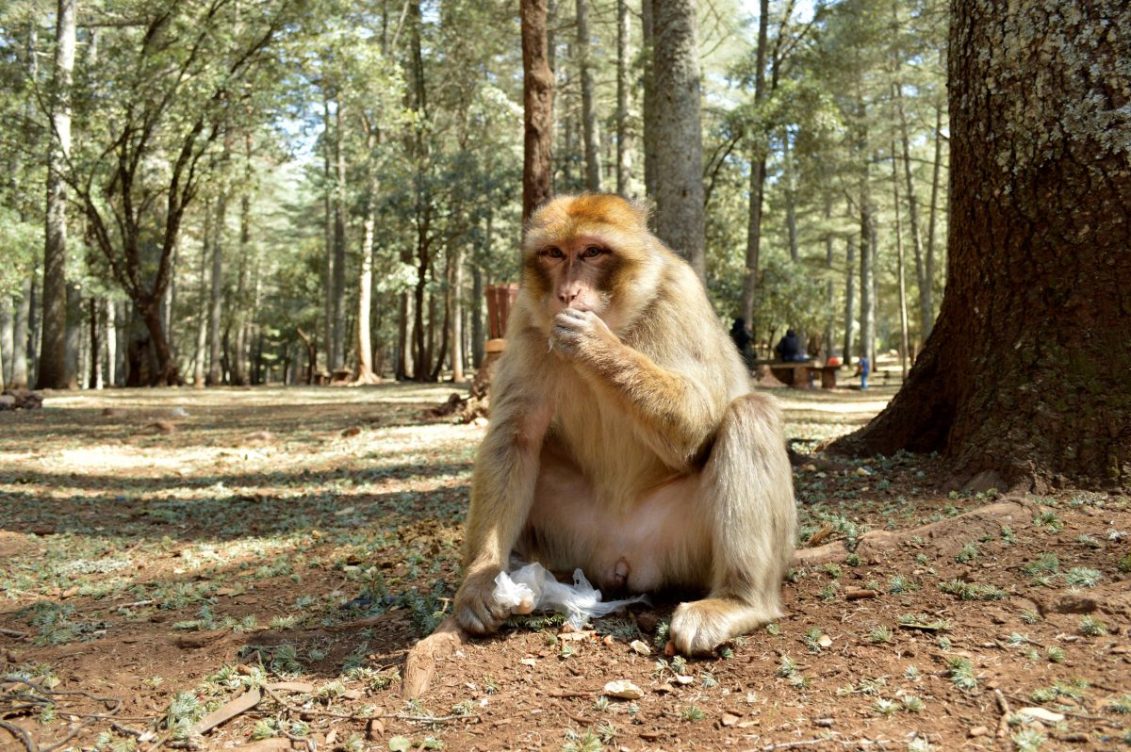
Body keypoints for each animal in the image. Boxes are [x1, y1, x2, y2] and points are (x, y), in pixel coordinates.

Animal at [454, 194, 796, 655]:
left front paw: (597, 347)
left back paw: (737, 601)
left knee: (750, 413)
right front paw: (481, 580)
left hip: (685, 545)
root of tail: (624, 556)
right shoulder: (525, 317)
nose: (567, 293)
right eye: (554, 253)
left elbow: (699, 422)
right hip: (578, 541)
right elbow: (514, 438)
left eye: (592, 252)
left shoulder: (680, 295)